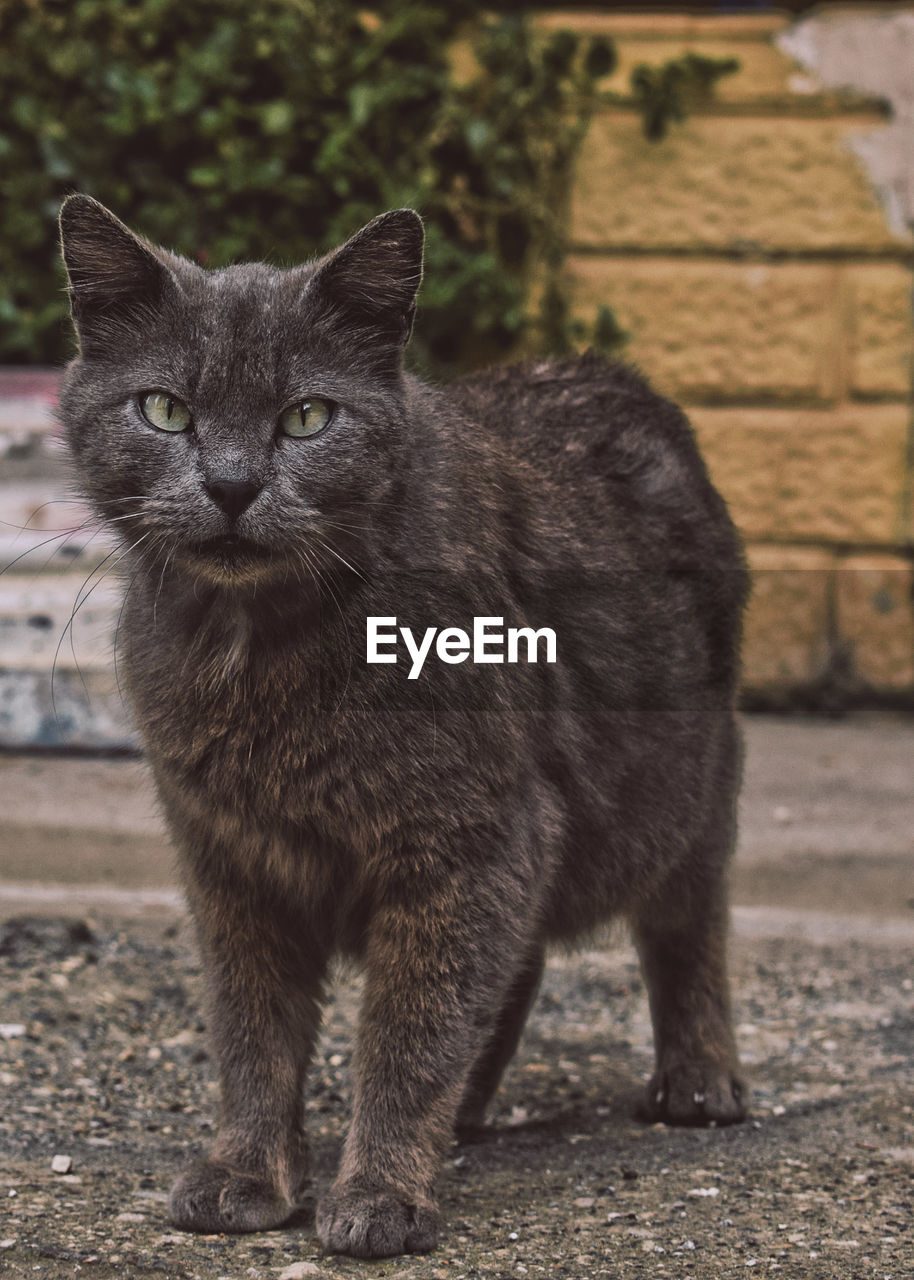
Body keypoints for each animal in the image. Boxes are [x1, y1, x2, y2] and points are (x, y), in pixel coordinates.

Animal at [56, 197, 742, 1259]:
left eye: (308, 416)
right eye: (165, 409)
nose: (232, 485)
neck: (262, 656)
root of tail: (612, 375)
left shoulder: (469, 837)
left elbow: (410, 1030)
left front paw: (381, 1188)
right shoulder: (230, 858)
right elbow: (252, 1029)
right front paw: (248, 1173)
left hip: (685, 786)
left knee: (686, 921)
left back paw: (700, 1079)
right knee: (522, 959)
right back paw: (475, 1108)